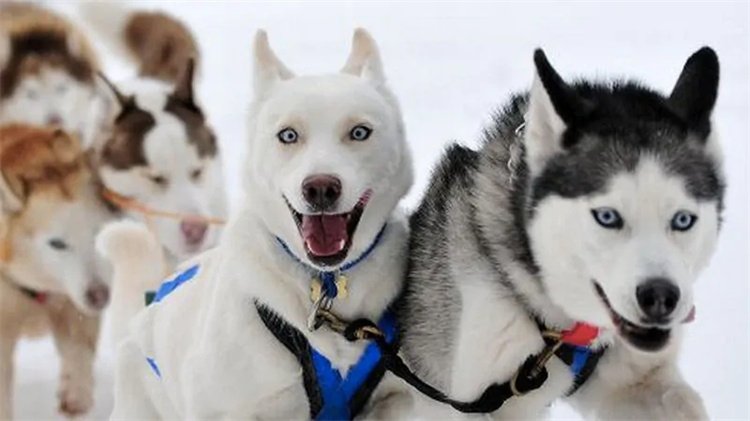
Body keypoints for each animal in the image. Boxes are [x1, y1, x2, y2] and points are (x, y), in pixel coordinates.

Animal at [0, 123, 116, 418]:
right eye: (57, 244)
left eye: (96, 233)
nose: (100, 295)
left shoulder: (73, 302)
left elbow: (80, 347)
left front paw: (77, 390)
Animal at [400, 48, 724, 416]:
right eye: (607, 216)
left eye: (683, 220)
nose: (661, 298)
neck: (559, 328)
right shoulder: (455, 399)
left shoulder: (634, 381)